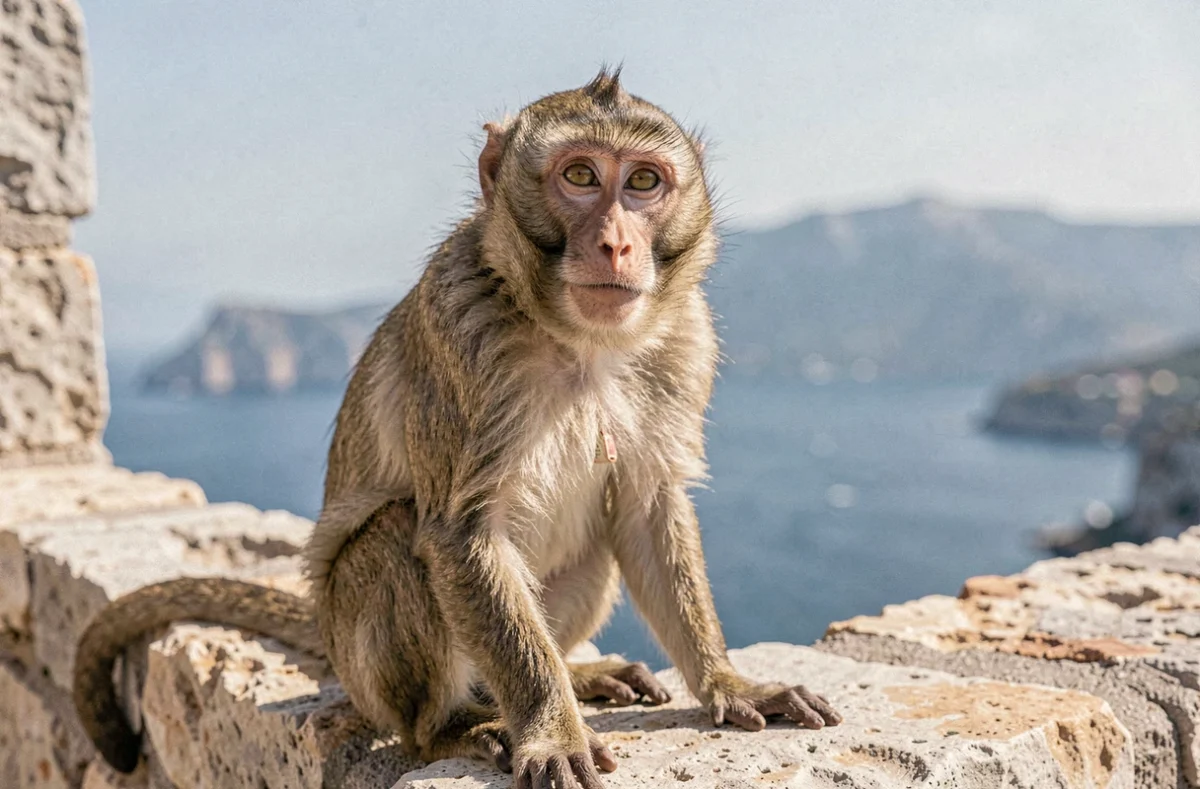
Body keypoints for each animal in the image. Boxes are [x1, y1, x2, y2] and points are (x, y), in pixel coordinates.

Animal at [74, 68, 842, 789]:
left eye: (645, 182)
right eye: (581, 176)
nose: (618, 244)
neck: (578, 341)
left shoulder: (686, 342)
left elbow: (648, 506)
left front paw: (728, 682)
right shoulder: (462, 333)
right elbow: (460, 532)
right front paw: (550, 730)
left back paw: (576, 675)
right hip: (365, 662)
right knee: (394, 542)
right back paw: (456, 725)